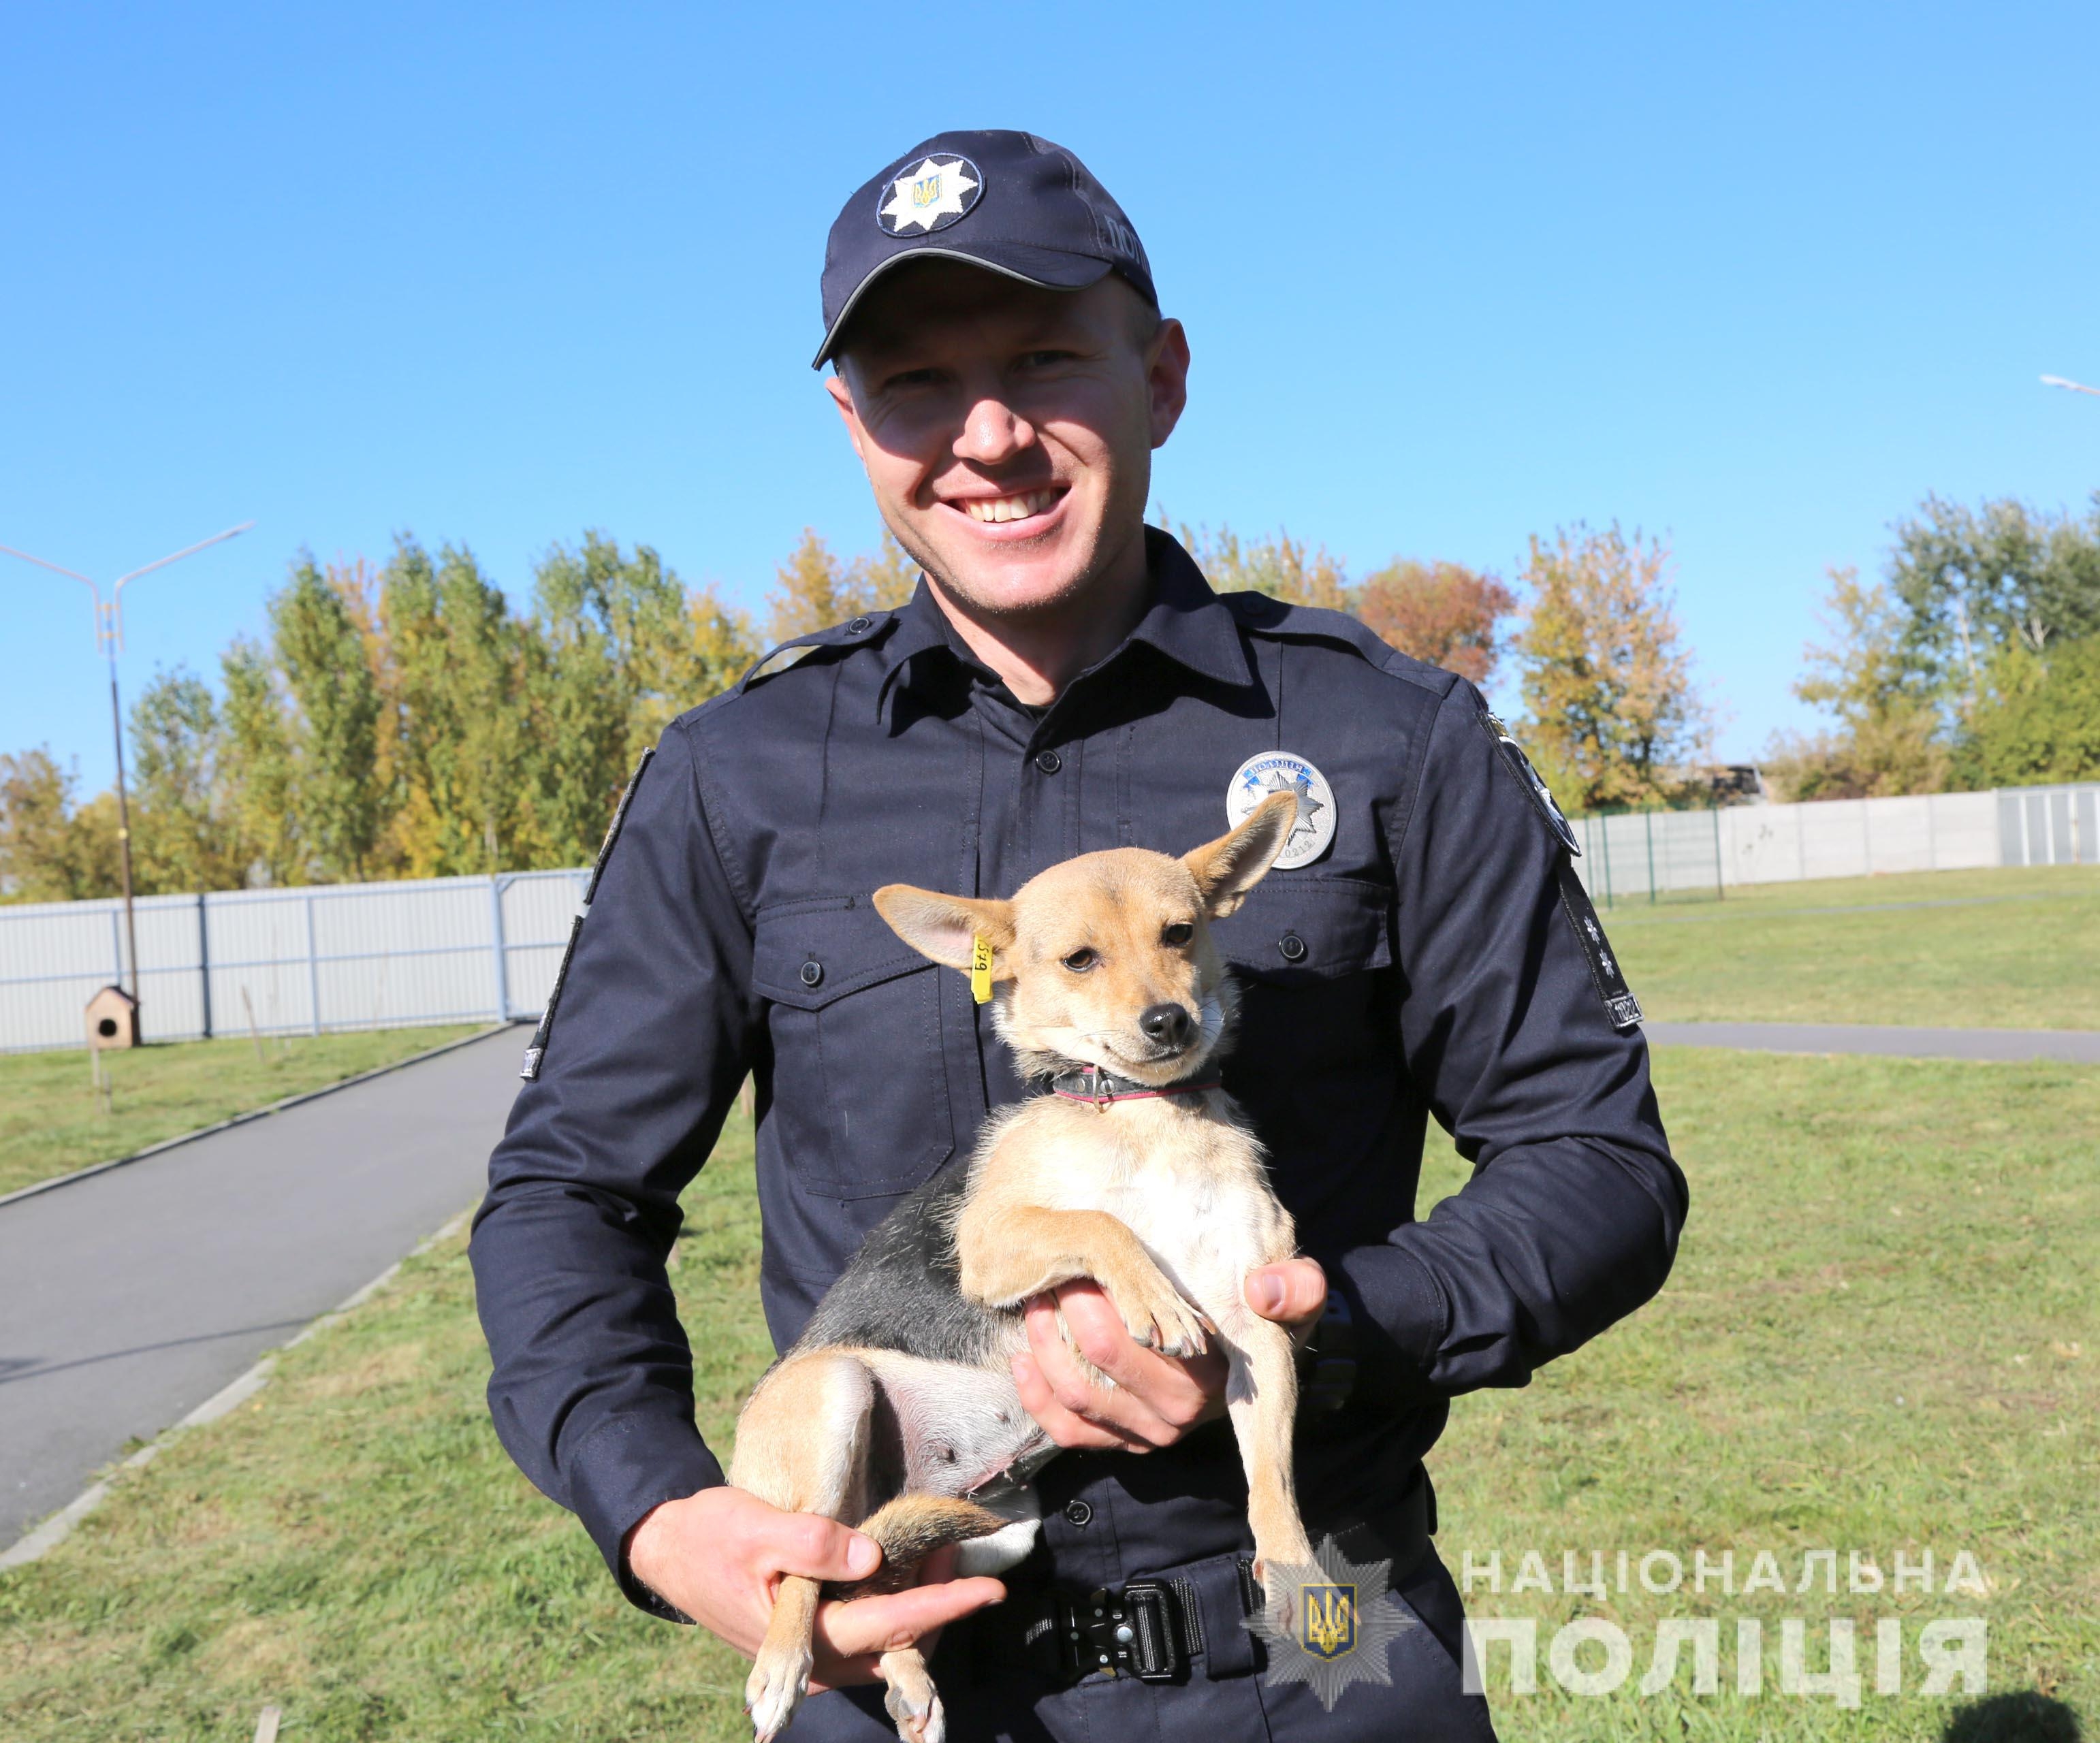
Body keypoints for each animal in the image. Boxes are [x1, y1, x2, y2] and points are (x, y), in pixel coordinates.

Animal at [727, 793, 1310, 1743]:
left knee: (874, 1579)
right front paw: (1152, 1295)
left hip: (996, 1530)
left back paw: (909, 1679)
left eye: (1180, 933)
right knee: (804, 1569)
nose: (1169, 1020)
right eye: (1079, 959)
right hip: (837, 1397)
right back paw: (782, 1666)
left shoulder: (1258, 1332)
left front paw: (1298, 1572)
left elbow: (1273, 1478)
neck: (1139, 1116)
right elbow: (1098, 1221)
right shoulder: (993, 1245)